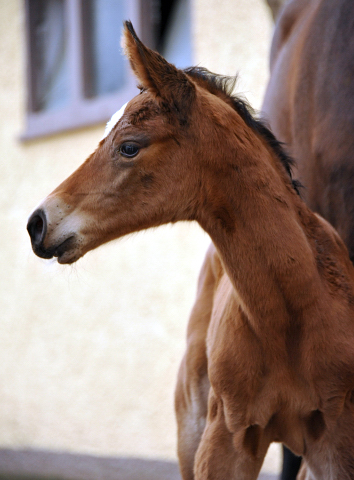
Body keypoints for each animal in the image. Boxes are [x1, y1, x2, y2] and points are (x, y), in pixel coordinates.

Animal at [28, 21, 354, 480]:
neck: (292, 316)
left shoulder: (336, 440)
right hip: (191, 426)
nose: (37, 223)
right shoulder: (224, 439)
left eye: (129, 146)